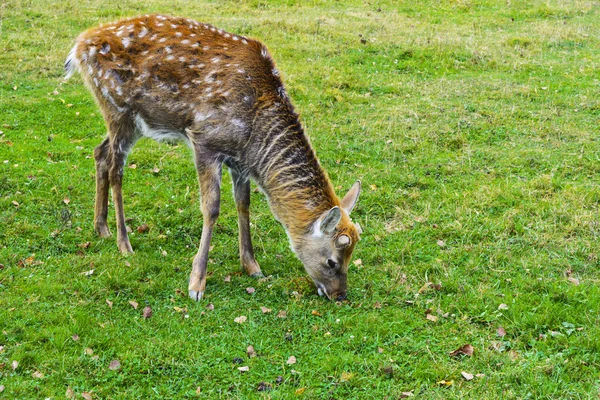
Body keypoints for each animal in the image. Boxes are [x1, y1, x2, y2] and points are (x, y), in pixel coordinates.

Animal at [65, 14, 360, 302]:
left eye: (351, 257)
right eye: (332, 261)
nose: (340, 295)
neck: (255, 138)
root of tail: (79, 45)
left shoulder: (240, 161)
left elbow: (244, 203)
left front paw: (252, 267)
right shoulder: (204, 140)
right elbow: (212, 208)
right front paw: (196, 284)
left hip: (133, 122)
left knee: (100, 152)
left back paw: (101, 227)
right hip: (117, 107)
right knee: (116, 168)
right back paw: (124, 243)